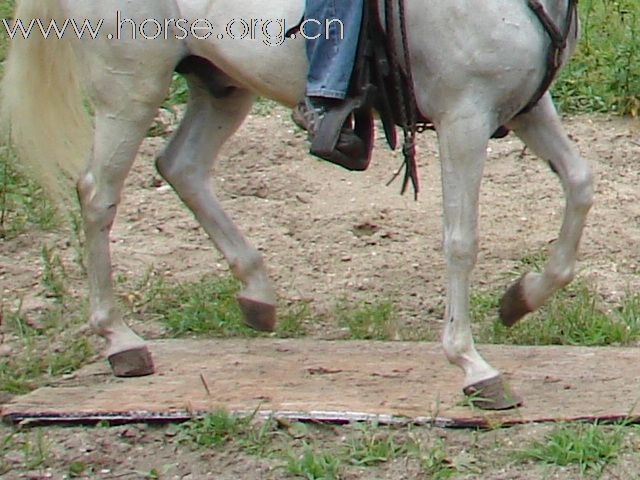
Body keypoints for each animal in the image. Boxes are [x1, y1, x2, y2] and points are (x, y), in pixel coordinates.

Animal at [0, 0, 592, 410]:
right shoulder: (465, 118)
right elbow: (461, 242)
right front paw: (472, 365)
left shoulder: (523, 107)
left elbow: (581, 185)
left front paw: (521, 299)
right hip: (130, 90)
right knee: (98, 195)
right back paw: (120, 340)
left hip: (220, 86)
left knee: (180, 167)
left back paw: (256, 292)